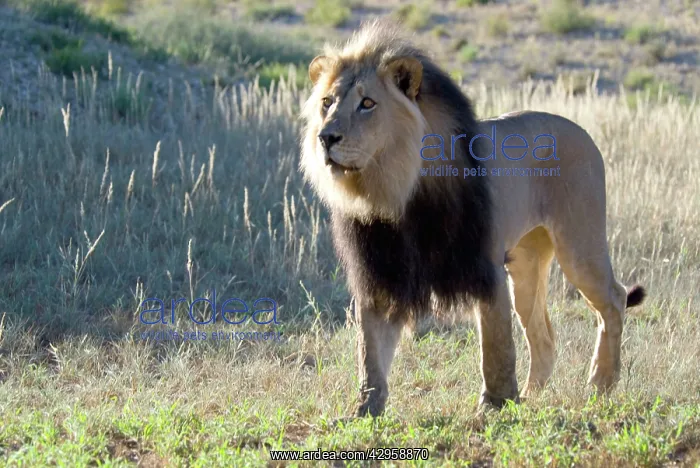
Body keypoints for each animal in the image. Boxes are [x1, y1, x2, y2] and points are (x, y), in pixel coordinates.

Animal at [299, 19, 646, 417]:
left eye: (367, 103)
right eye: (327, 103)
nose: (326, 137)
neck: (392, 191)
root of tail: (581, 131)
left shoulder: (484, 265)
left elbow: (496, 346)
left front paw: (496, 404)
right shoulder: (380, 272)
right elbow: (370, 351)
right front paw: (365, 410)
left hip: (579, 244)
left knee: (613, 299)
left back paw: (600, 384)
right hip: (527, 263)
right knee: (543, 336)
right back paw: (533, 396)